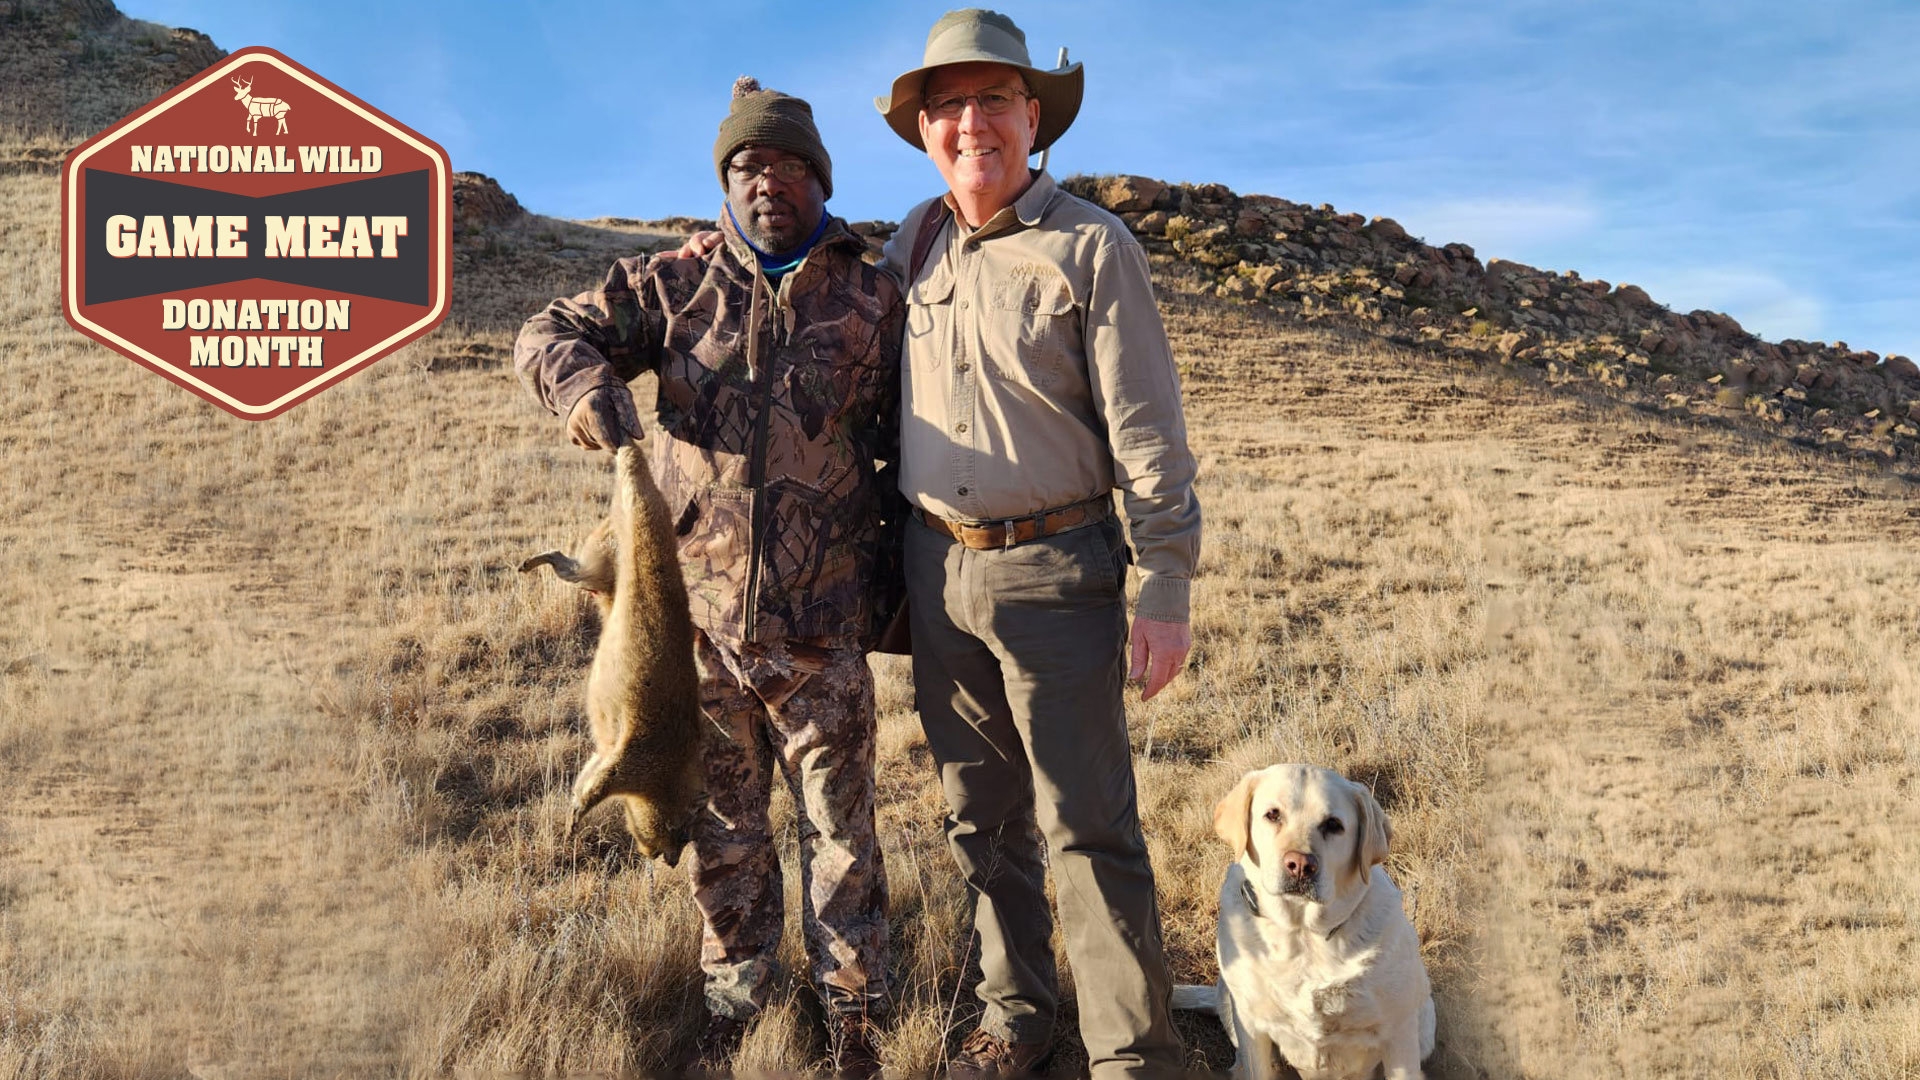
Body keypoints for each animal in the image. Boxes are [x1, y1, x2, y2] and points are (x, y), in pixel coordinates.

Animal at [1167, 760, 1443, 1076]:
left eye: (1333, 825)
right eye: (1273, 814)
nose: (1300, 865)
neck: (1304, 935)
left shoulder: (1399, 1033)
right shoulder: (1253, 1027)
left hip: (1424, 1024)